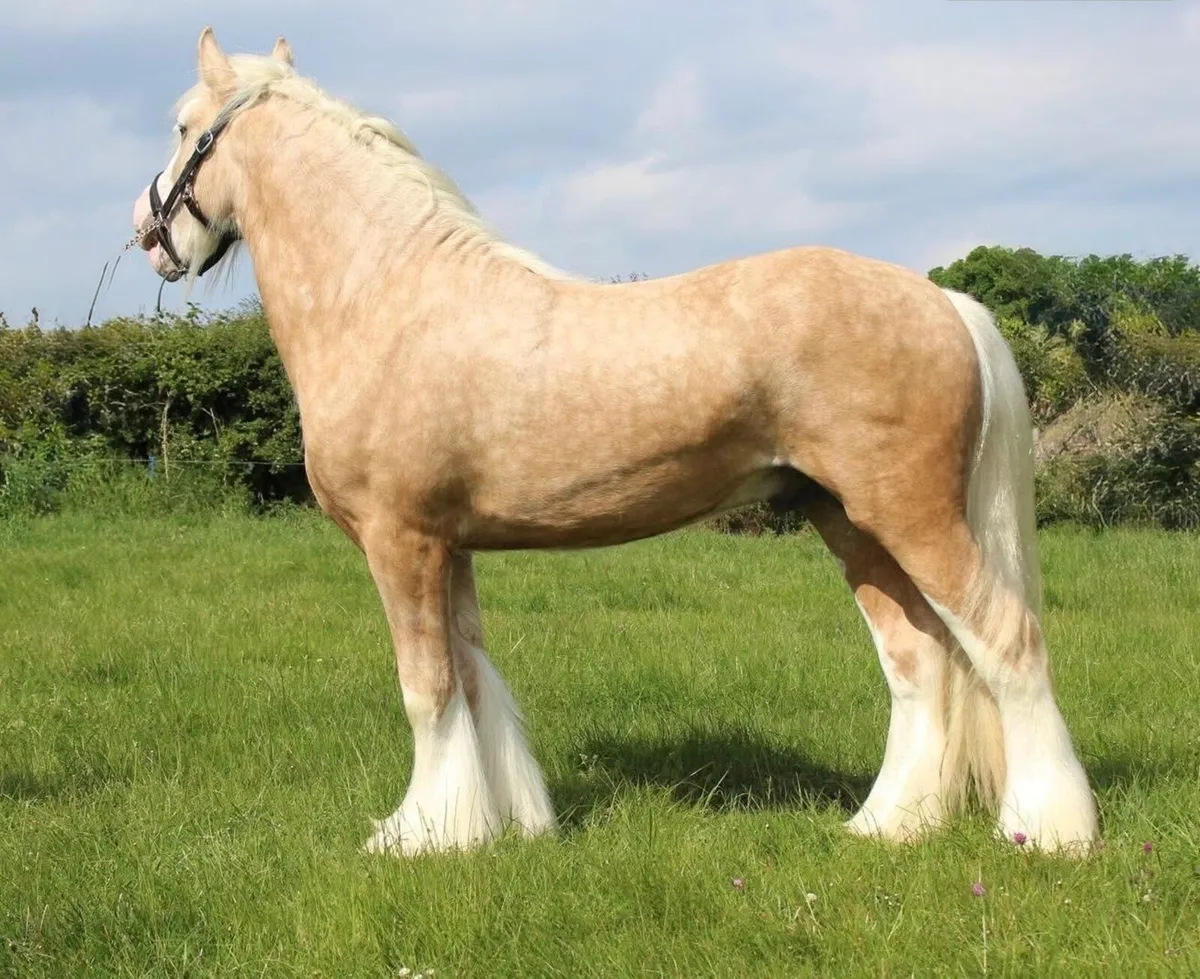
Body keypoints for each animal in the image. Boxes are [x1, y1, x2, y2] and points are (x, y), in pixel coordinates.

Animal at [131, 28, 1098, 856]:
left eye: (180, 127)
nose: (150, 235)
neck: (388, 297)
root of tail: (947, 302)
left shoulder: (399, 540)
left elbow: (428, 689)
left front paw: (421, 835)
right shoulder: (450, 546)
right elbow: (475, 678)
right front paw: (503, 823)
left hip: (911, 516)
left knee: (1006, 638)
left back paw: (1049, 830)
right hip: (850, 521)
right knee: (920, 661)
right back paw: (887, 824)